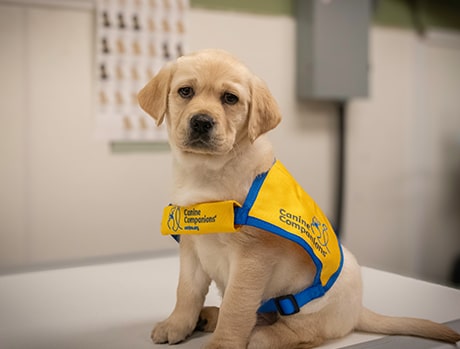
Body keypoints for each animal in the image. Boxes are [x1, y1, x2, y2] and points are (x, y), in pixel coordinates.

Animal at [137, 49, 460, 348]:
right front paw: (177, 324)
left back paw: (262, 335)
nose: (202, 122)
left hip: (321, 299)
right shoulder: (191, 247)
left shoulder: (251, 257)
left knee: (301, 331)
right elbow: (187, 292)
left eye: (230, 98)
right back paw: (209, 316)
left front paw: (223, 343)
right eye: (185, 92)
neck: (208, 171)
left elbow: (237, 306)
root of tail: (358, 310)